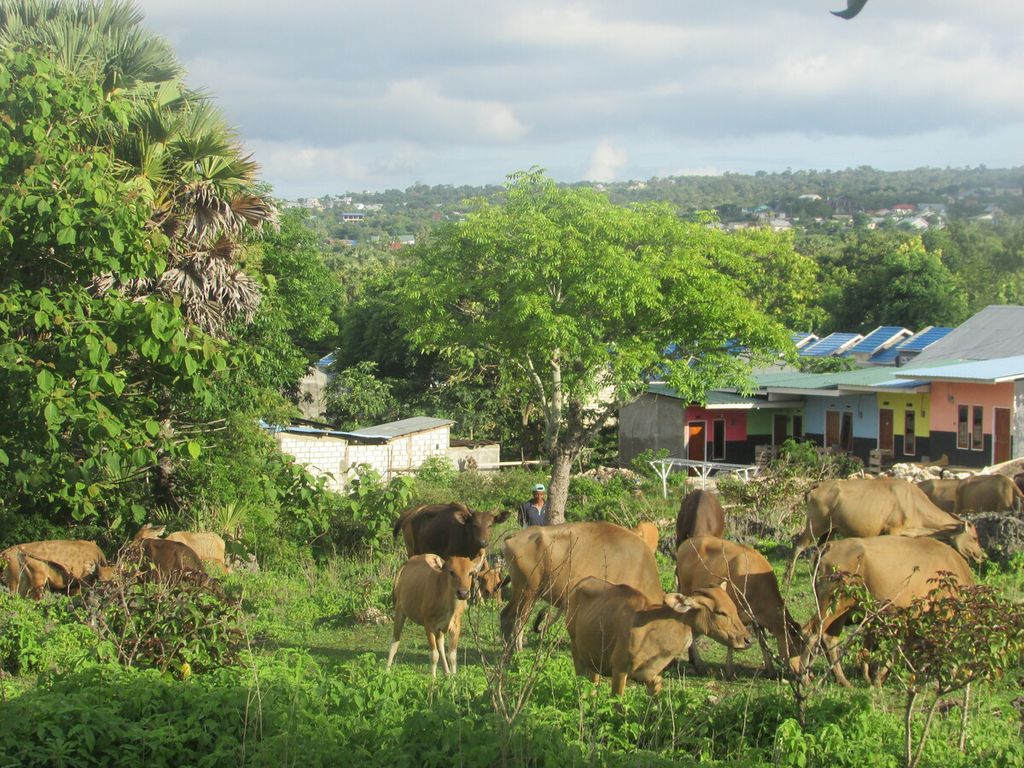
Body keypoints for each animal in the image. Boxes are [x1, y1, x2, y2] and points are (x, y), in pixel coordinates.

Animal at [501, 520, 663, 651]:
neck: (640, 566)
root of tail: (514, 536)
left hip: (524, 593)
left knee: (505, 615)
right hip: (527, 592)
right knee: (518, 621)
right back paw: (518, 652)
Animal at [565, 577, 749, 696]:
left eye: (733, 607)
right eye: (720, 612)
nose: (747, 640)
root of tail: (579, 584)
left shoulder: (648, 674)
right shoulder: (619, 669)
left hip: (592, 660)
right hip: (576, 651)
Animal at [675, 536, 802, 675]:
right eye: (795, 647)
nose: (801, 671)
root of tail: (686, 543)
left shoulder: (754, 617)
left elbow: (762, 641)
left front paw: (771, 670)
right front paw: (729, 672)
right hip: (686, 590)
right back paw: (699, 666)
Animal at [782, 475, 983, 581]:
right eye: (974, 538)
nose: (982, 556)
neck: (914, 505)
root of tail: (817, 486)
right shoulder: (892, 530)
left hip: (830, 529)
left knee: (819, 547)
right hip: (815, 524)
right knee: (799, 544)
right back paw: (787, 577)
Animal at [798, 536, 974, 692]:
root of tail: (829, 546)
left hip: (842, 610)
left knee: (829, 638)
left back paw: (844, 681)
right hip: (832, 603)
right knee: (810, 632)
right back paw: (805, 679)